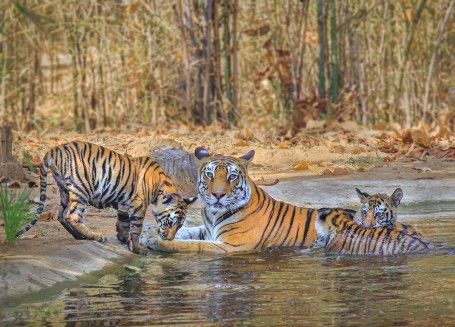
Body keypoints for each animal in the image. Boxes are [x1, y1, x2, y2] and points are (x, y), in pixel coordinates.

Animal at [15, 142, 197, 255]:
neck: (161, 186)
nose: (170, 239)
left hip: (64, 190)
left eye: (180, 225)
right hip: (82, 188)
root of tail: (55, 149)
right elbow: (136, 228)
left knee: (61, 216)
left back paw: (80, 236)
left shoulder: (124, 205)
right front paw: (137, 248)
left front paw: (124, 240)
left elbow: (124, 223)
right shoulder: (139, 205)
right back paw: (95, 236)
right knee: (72, 215)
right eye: (171, 222)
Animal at [141, 148, 322, 254]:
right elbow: (189, 231)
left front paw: (155, 240)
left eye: (232, 176)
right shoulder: (208, 230)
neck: (213, 213)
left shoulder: (230, 245)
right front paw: (149, 231)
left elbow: (191, 244)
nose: (218, 194)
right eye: (209, 174)